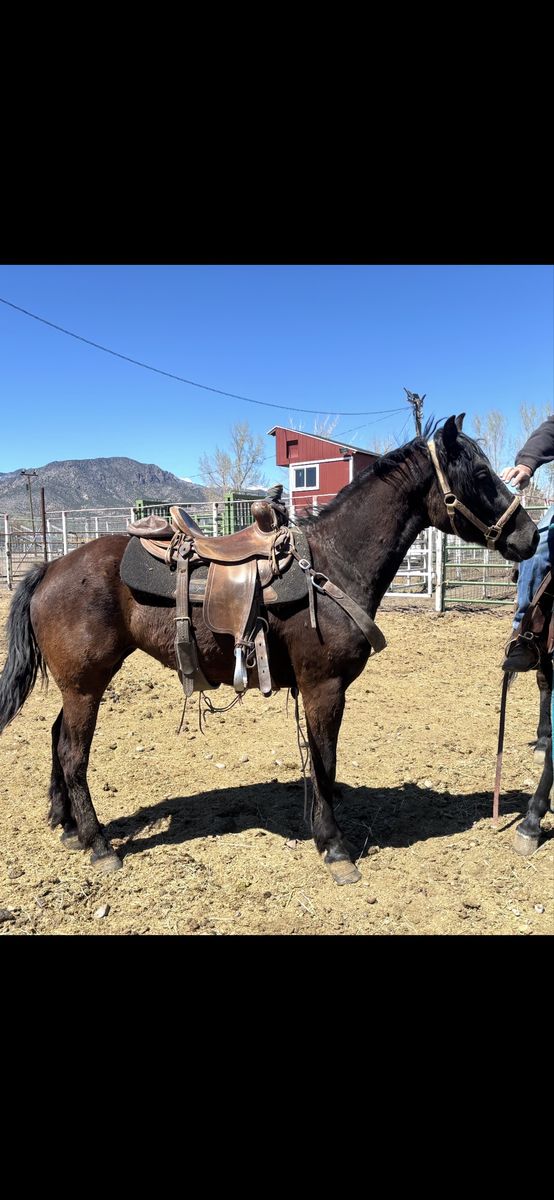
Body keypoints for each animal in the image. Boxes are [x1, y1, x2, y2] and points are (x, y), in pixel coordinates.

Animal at [0, 415, 539, 885]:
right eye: (482, 474)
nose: (530, 536)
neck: (333, 564)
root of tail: (48, 569)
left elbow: (319, 764)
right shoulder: (324, 687)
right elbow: (324, 762)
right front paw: (335, 847)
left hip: (79, 685)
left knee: (56, 739)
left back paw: (68, 826)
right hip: (85, 685)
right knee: (73, 755)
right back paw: (98, 845)